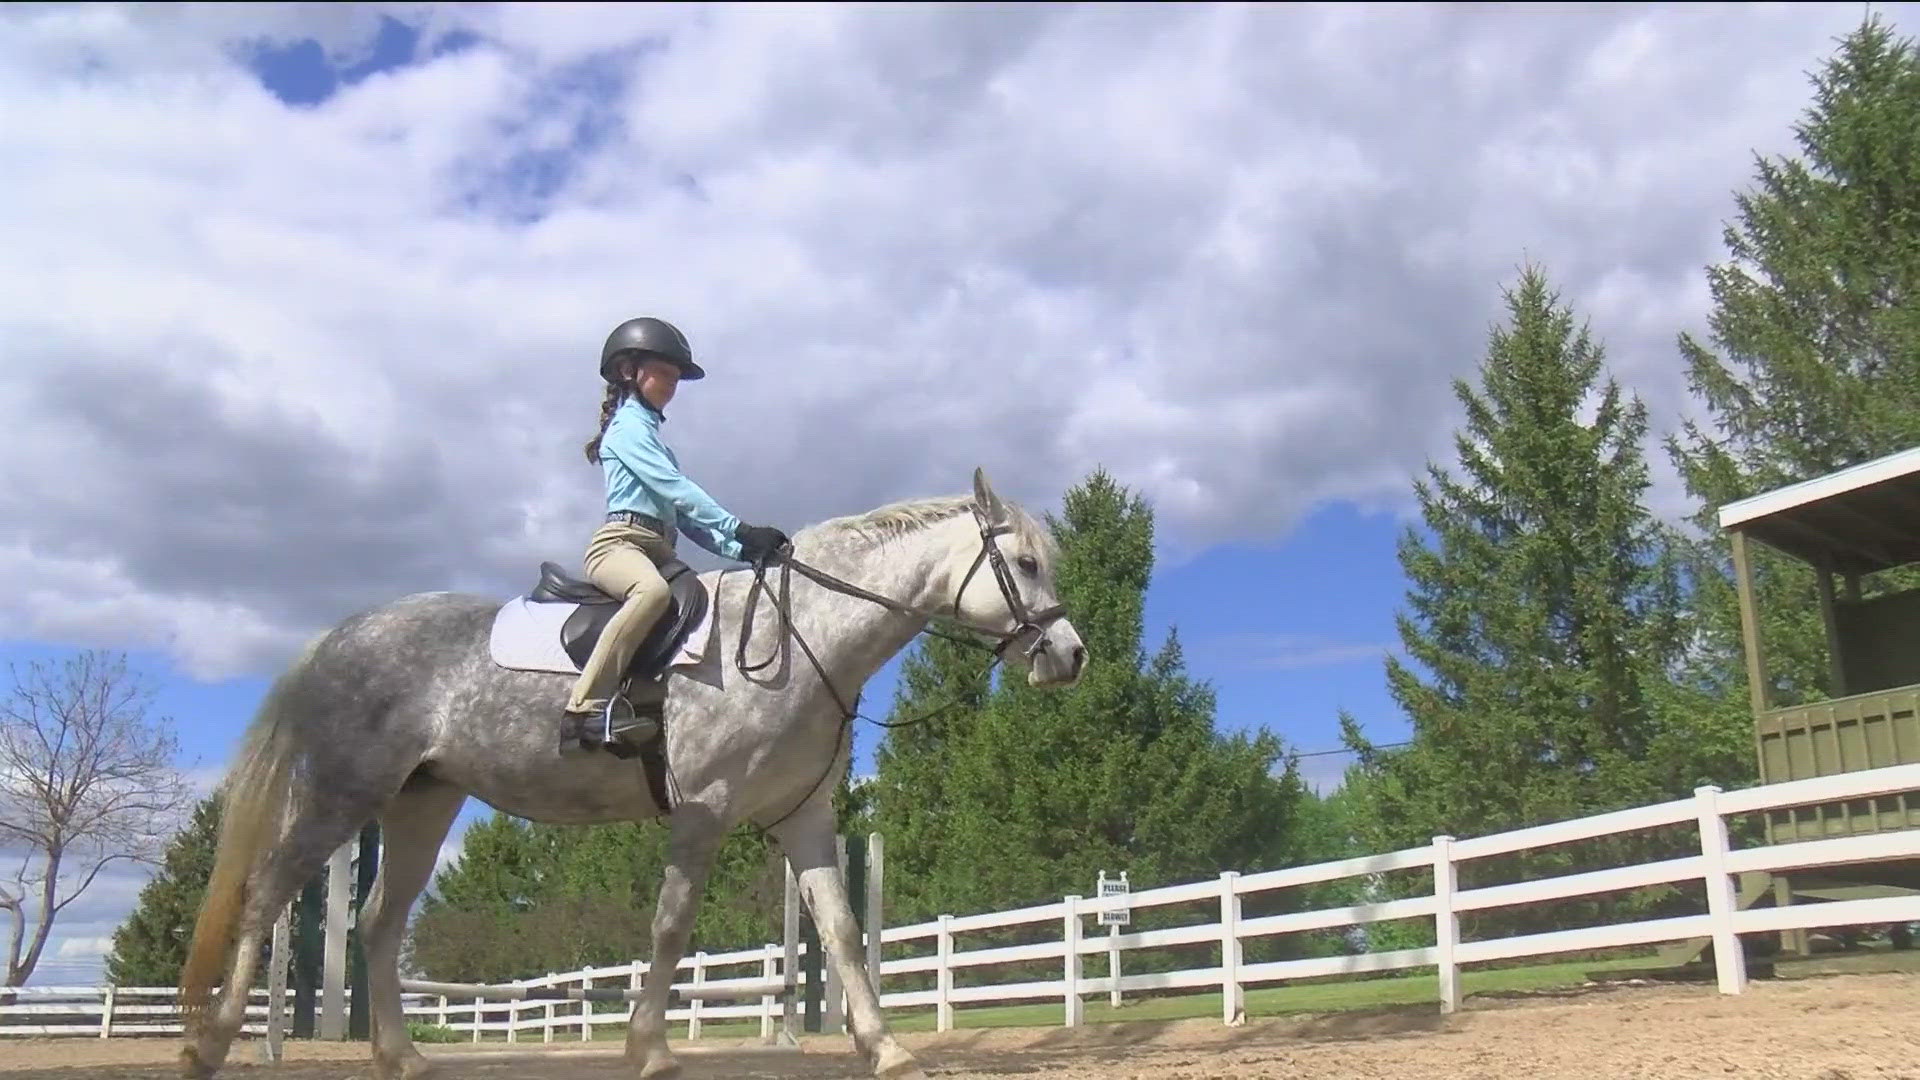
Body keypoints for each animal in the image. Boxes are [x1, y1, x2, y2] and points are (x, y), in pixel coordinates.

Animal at [176, 468, 1082, 1076]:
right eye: (1026, 565)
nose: (1069, 657)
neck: (797, 637)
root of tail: (344, 633)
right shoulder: (704, 810)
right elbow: (671, 928)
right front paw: (650, 1050)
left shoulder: (805, 819)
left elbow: (843, 932)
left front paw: (887, 1048)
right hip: (342, 794)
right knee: (267, 897)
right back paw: (209, 1045)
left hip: (421, 806)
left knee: (377, 923)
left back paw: (402, 1059)